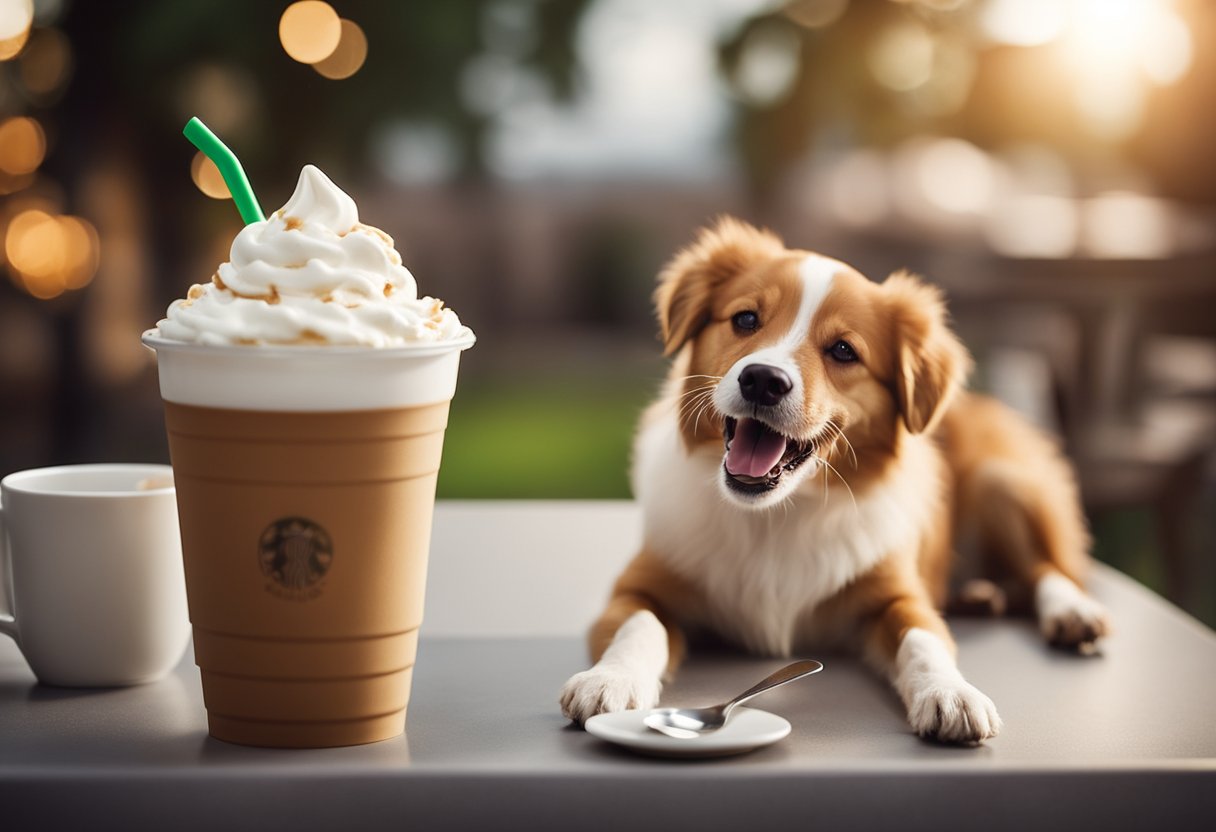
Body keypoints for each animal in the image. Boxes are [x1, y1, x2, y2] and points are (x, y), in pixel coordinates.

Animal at [559, 217, 1113, 744]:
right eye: (745, 319)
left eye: (844, 351)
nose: (762, 380)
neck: (773, 516)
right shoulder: (638, 584)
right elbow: (640, 624)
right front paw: (609, 679)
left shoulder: (899, 596)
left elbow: (925, 640)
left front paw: (951, 693)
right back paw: (981, 595)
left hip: (1004, 483)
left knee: (1048, 567)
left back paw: (1070, 612)